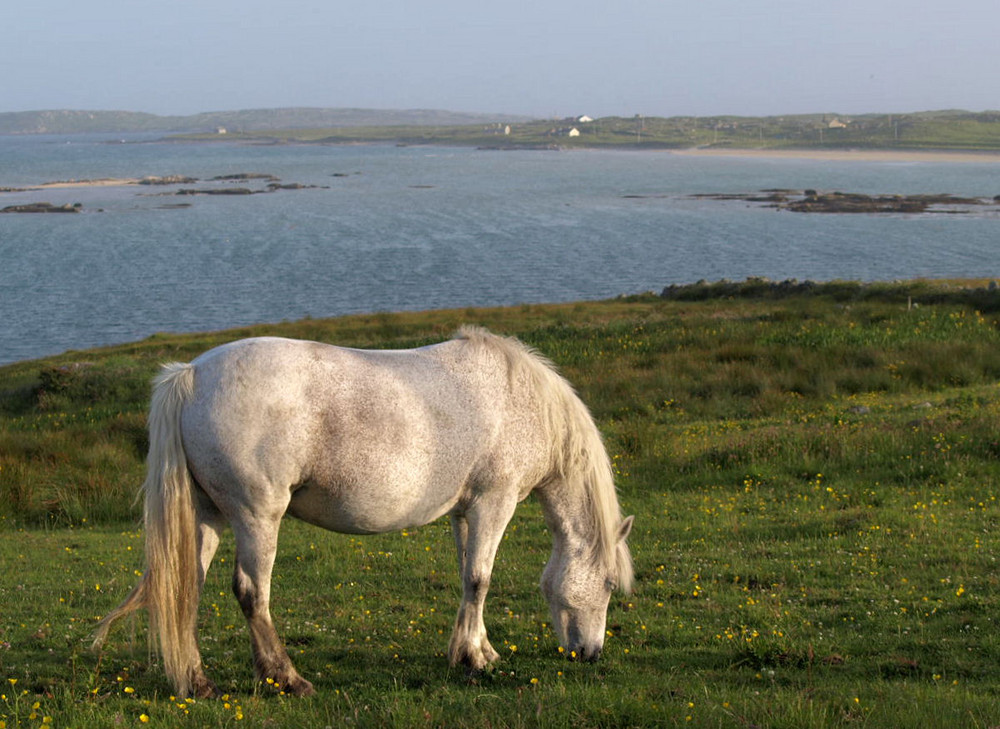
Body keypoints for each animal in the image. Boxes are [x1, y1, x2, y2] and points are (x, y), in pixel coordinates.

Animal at [97, 328, 636, 696]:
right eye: (610, 584)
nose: (592, 654)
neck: (519, 401)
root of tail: (189, 376)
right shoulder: (494, 503)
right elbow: (481, 578)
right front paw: (474, 660)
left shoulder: (464, 512)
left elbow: (467, 576)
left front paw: (476, 650)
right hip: (256, 516)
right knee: (252, 593)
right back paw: (287, 678)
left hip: (207, 515)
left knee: (186, 587)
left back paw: (199, 682)